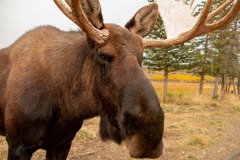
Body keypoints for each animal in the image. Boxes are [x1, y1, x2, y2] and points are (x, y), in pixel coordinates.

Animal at [0, 0, 239, 159]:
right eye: (102, 55)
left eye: (141, 57)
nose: (149, 137)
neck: (68, 108)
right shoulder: (18, 145)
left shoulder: (62, 143)